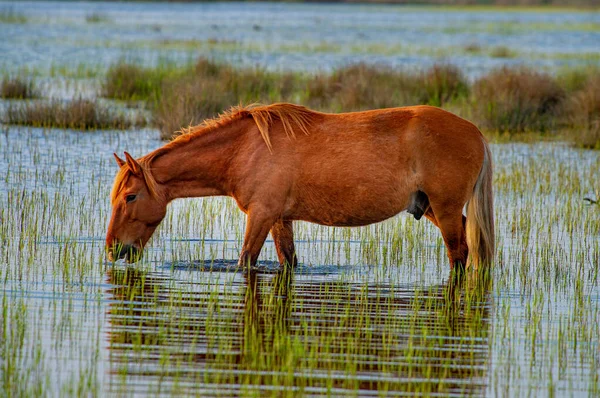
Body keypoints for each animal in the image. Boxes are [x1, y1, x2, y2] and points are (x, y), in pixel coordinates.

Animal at [105, 104, 494, 268]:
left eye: (130, 196)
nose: (114, 250)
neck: (244, 149)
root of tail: (475, 132)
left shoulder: (261, 216)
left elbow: (246, 261)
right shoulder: (281, 219)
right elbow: (288, 261)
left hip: (444, 210)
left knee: (459, 255)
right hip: (429, 208)